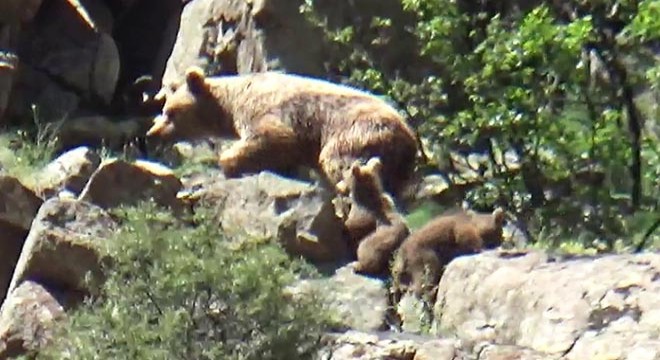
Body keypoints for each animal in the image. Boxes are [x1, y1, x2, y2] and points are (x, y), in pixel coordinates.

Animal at [148, 65, 420, 200]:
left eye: (169, 113)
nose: (152, 133)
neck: (229, 104)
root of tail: (410, 135)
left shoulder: (267, 110)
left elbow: (271, 137)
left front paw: (229, 161)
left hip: (357, 131)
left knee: (338, 159)